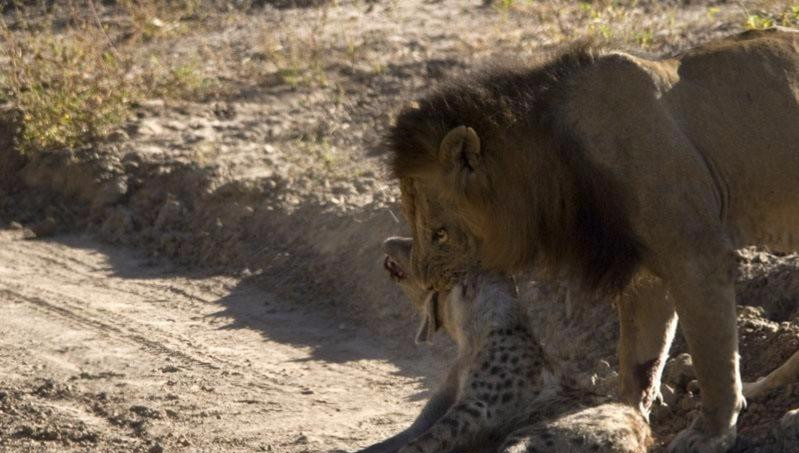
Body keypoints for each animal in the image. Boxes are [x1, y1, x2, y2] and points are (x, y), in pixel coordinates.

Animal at [386, 29, 799, 452]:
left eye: (439, 233)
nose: (427, 280)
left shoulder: (696, 255)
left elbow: (713, 356)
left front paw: (709, 433)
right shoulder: (645, 271)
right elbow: (639, 361)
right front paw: (620, 417)